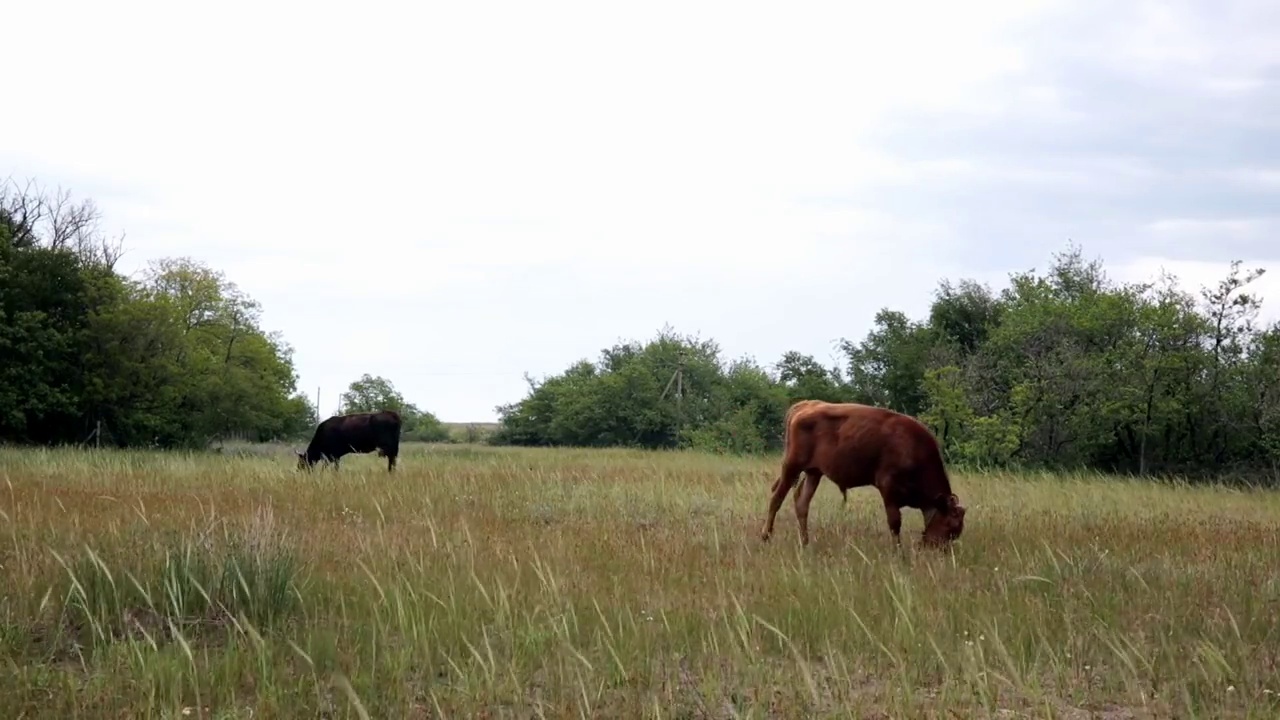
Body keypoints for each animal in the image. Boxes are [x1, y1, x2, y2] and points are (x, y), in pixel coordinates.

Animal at [757, 397, 962, 543]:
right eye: (950, 526)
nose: (940, 550)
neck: (913, 449)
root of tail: (804, 405)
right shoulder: (888, 490)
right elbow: (895, 523)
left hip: (813, 472)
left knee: (802, 503)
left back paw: (805, 541)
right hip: (791, 467)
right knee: (776, 498)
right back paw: (766, 535)